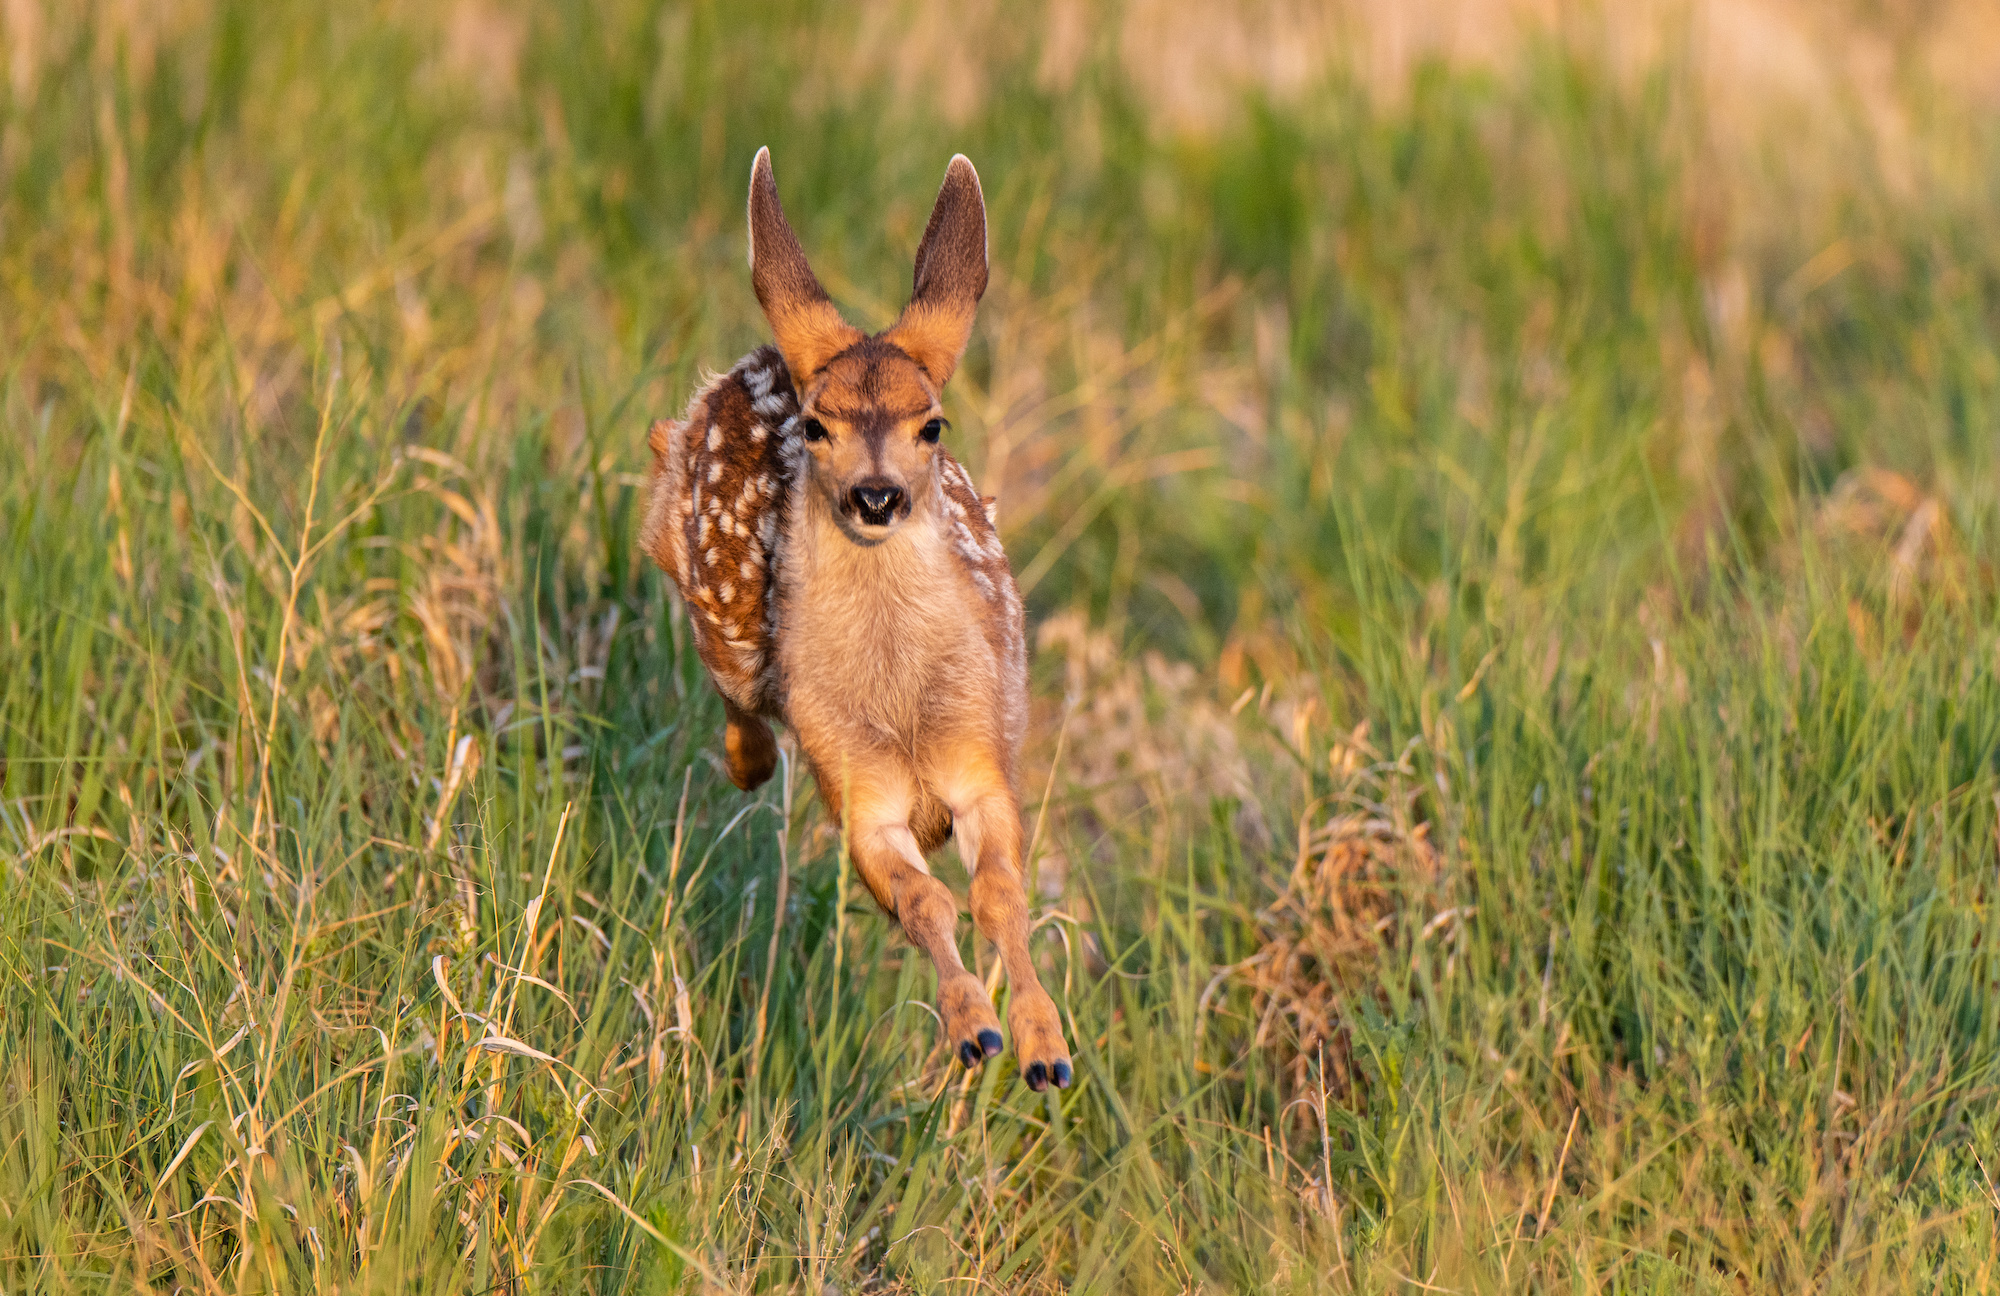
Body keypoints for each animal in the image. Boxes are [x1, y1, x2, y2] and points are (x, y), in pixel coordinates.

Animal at [644, 147, 1080, 1088]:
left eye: (932, 424)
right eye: (817, 426)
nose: (875, 496)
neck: (902, 708)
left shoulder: (982, 759)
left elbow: (999, 895)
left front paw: (1045, 1049)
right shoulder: (857, 789)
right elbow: (924, 900)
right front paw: (974, 1031)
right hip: (717, 608)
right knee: (728, 674)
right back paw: (750, 764)